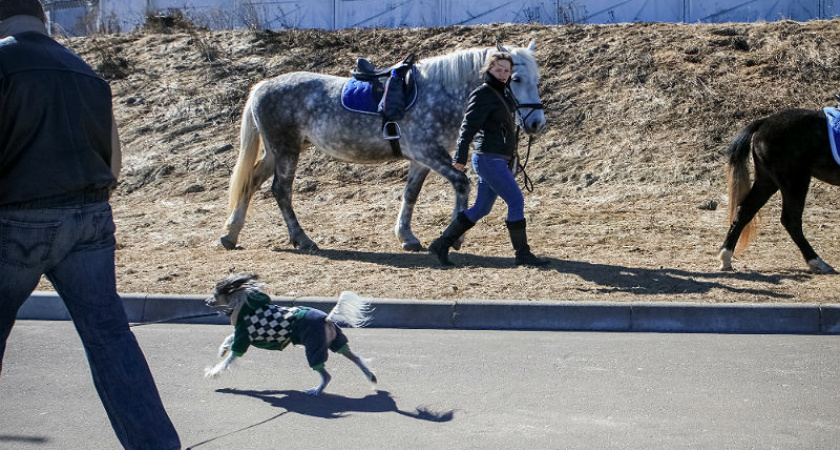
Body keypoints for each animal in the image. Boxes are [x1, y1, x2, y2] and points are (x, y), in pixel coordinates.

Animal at [203, 272, 378, 396]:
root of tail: (326, 318)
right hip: (335, 342)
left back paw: (316, 391)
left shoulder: (242, 339)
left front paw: (213, 372)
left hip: (314, 347)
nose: (206, 301)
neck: (243, 303)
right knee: (356, 359)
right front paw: (223, 349)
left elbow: (227, 361)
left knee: (326, 375)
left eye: (215, 293)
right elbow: (229, 338)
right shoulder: (242, 334)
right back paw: (370, 377)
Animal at [220, 41, 548, 253]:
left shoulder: (421, 159)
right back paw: (302, 239)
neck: (437, 92)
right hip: (286, 150)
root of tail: (263, 86)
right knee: (281, 191)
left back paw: (231, 234)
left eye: (537, 77)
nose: (536, 123)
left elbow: (411, 194)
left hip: (278, 151)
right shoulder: (428, 153)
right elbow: (462, 183)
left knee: (251, 182)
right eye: (516, 78)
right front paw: (455, 237)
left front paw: (407, 236)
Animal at [720, 108, 840, 274]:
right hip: (794, 181)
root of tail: (764, 122)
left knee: (744, 212)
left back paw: (726, 257)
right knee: (791, 221)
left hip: (767, 181)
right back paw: (817, 262)